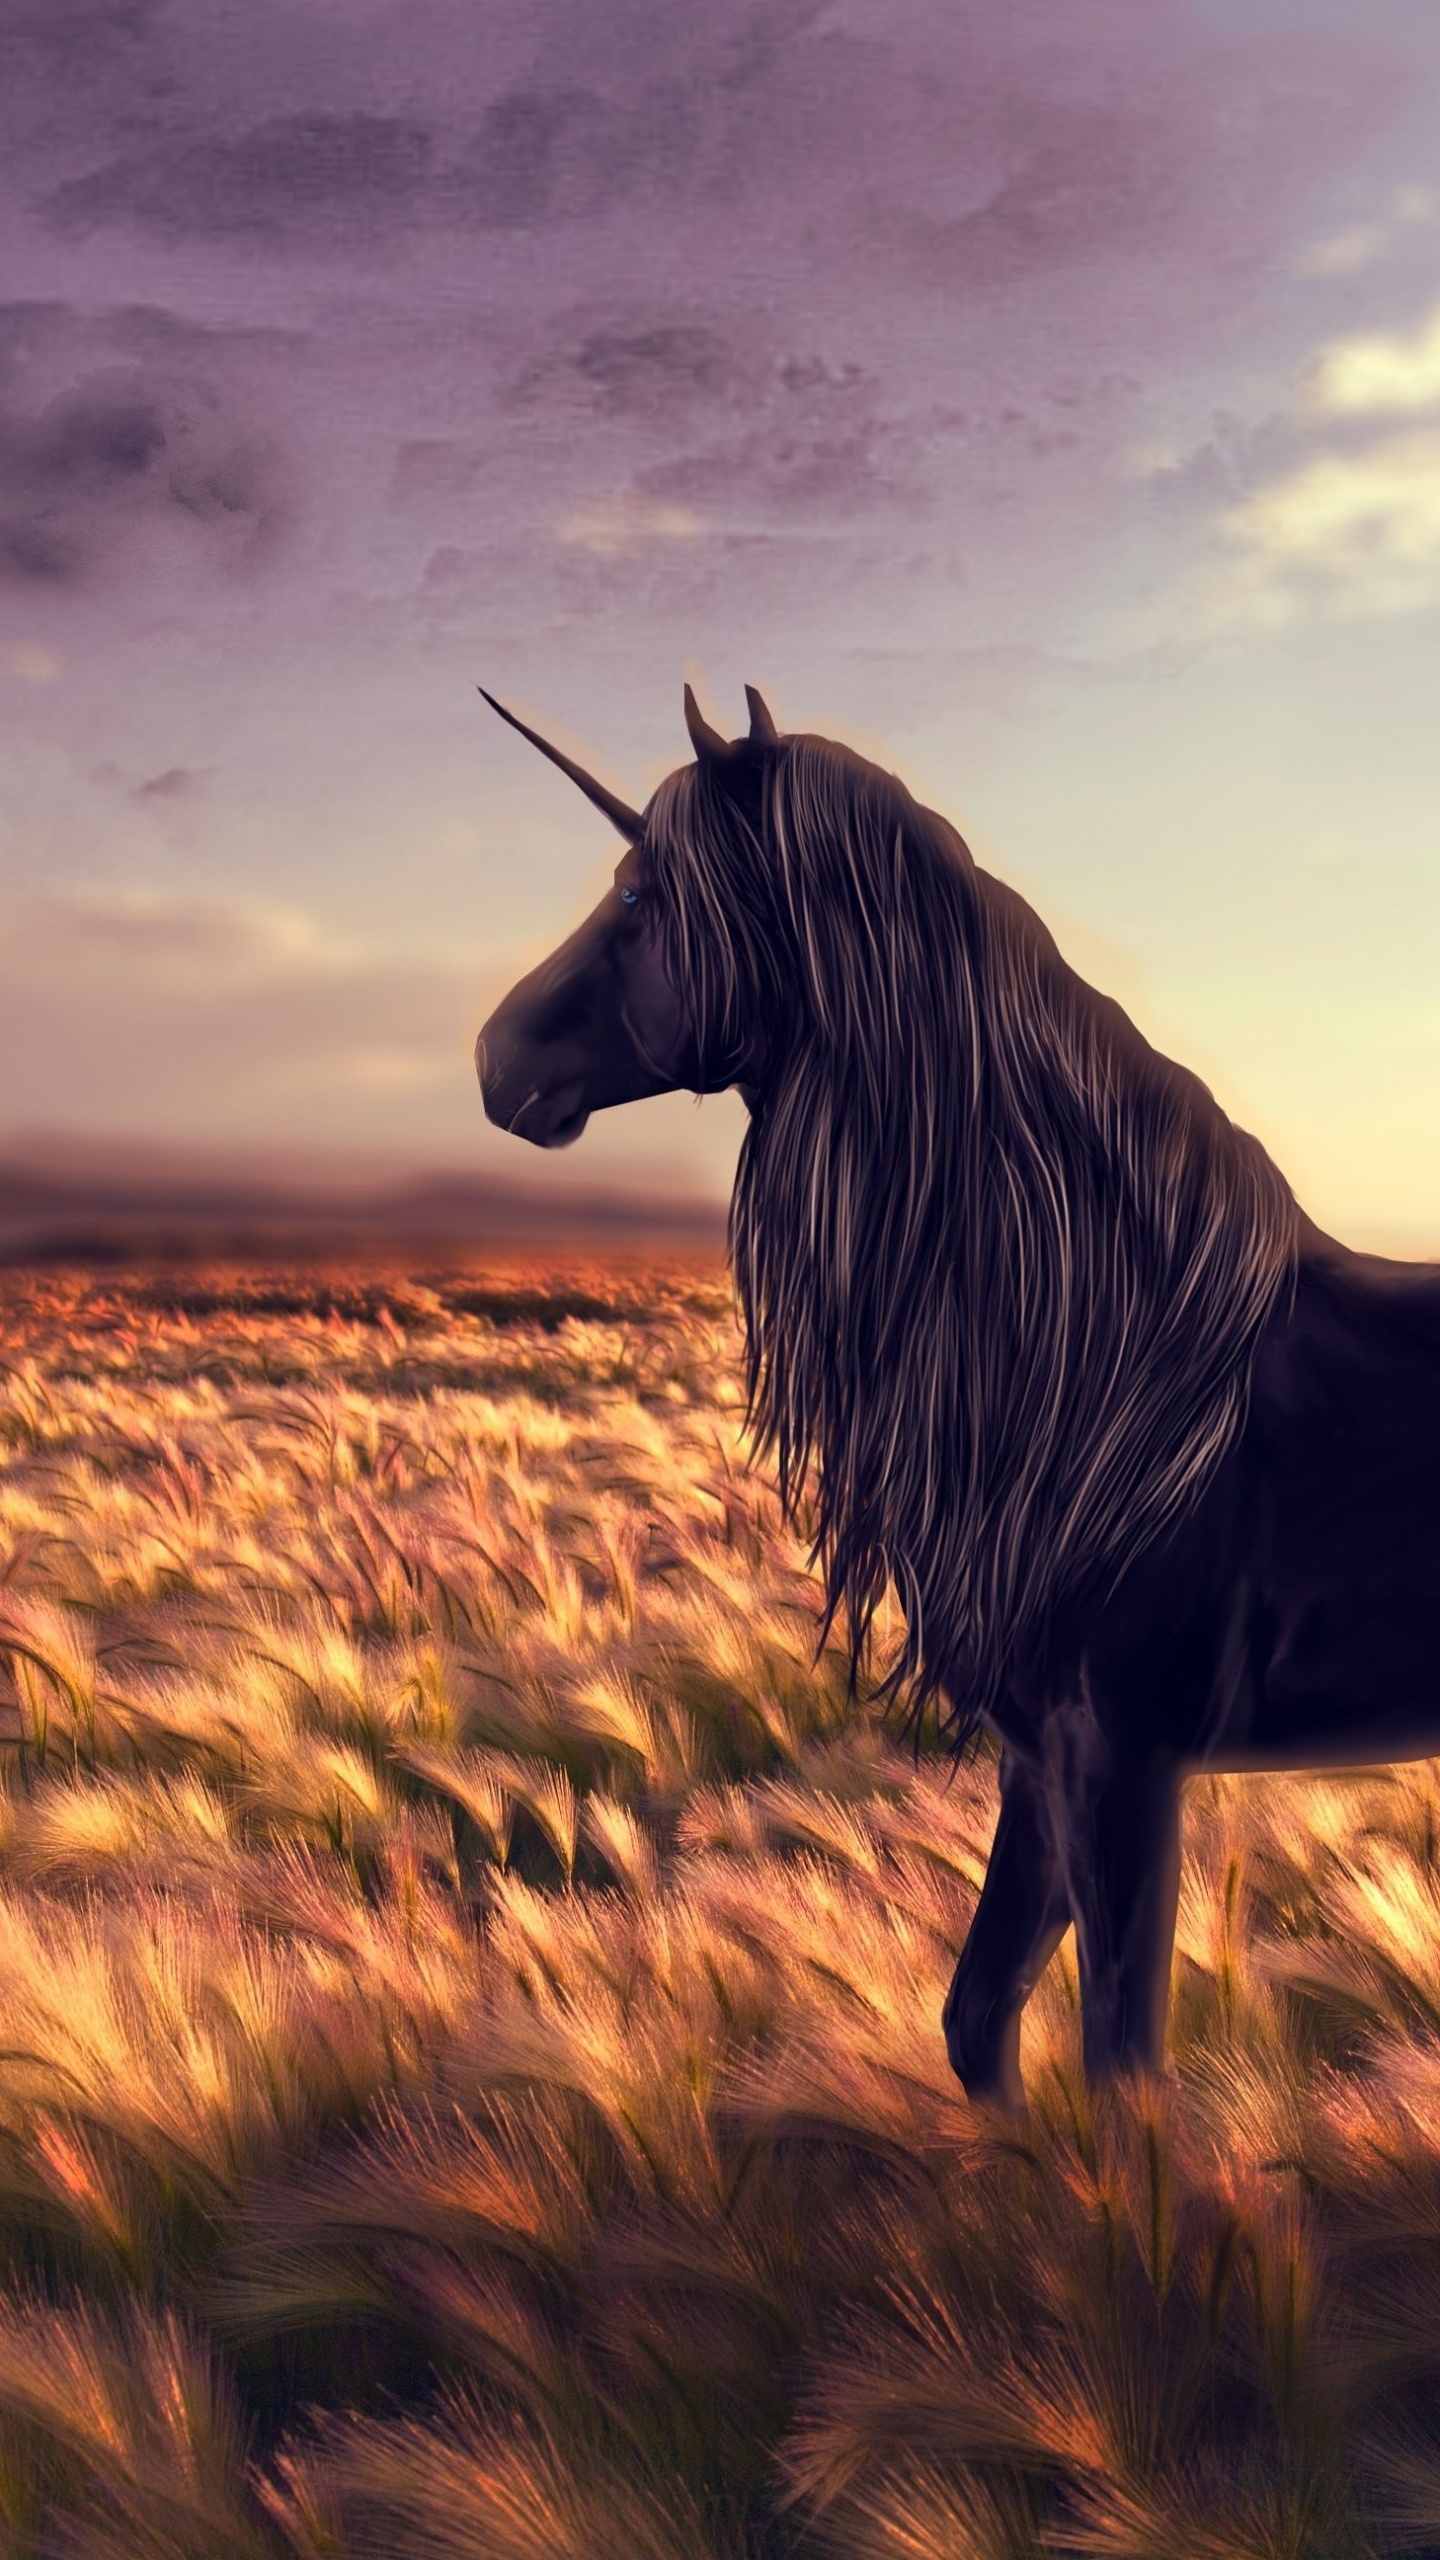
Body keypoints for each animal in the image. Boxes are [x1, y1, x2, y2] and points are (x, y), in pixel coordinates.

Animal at [476, 682, 1440, 2108]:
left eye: (643, 894)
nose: (493, 1058)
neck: (1114, 1375)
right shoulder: (1042, 1756)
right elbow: (979, 2020)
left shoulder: (1127, 1759)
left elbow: (1121, 2065)